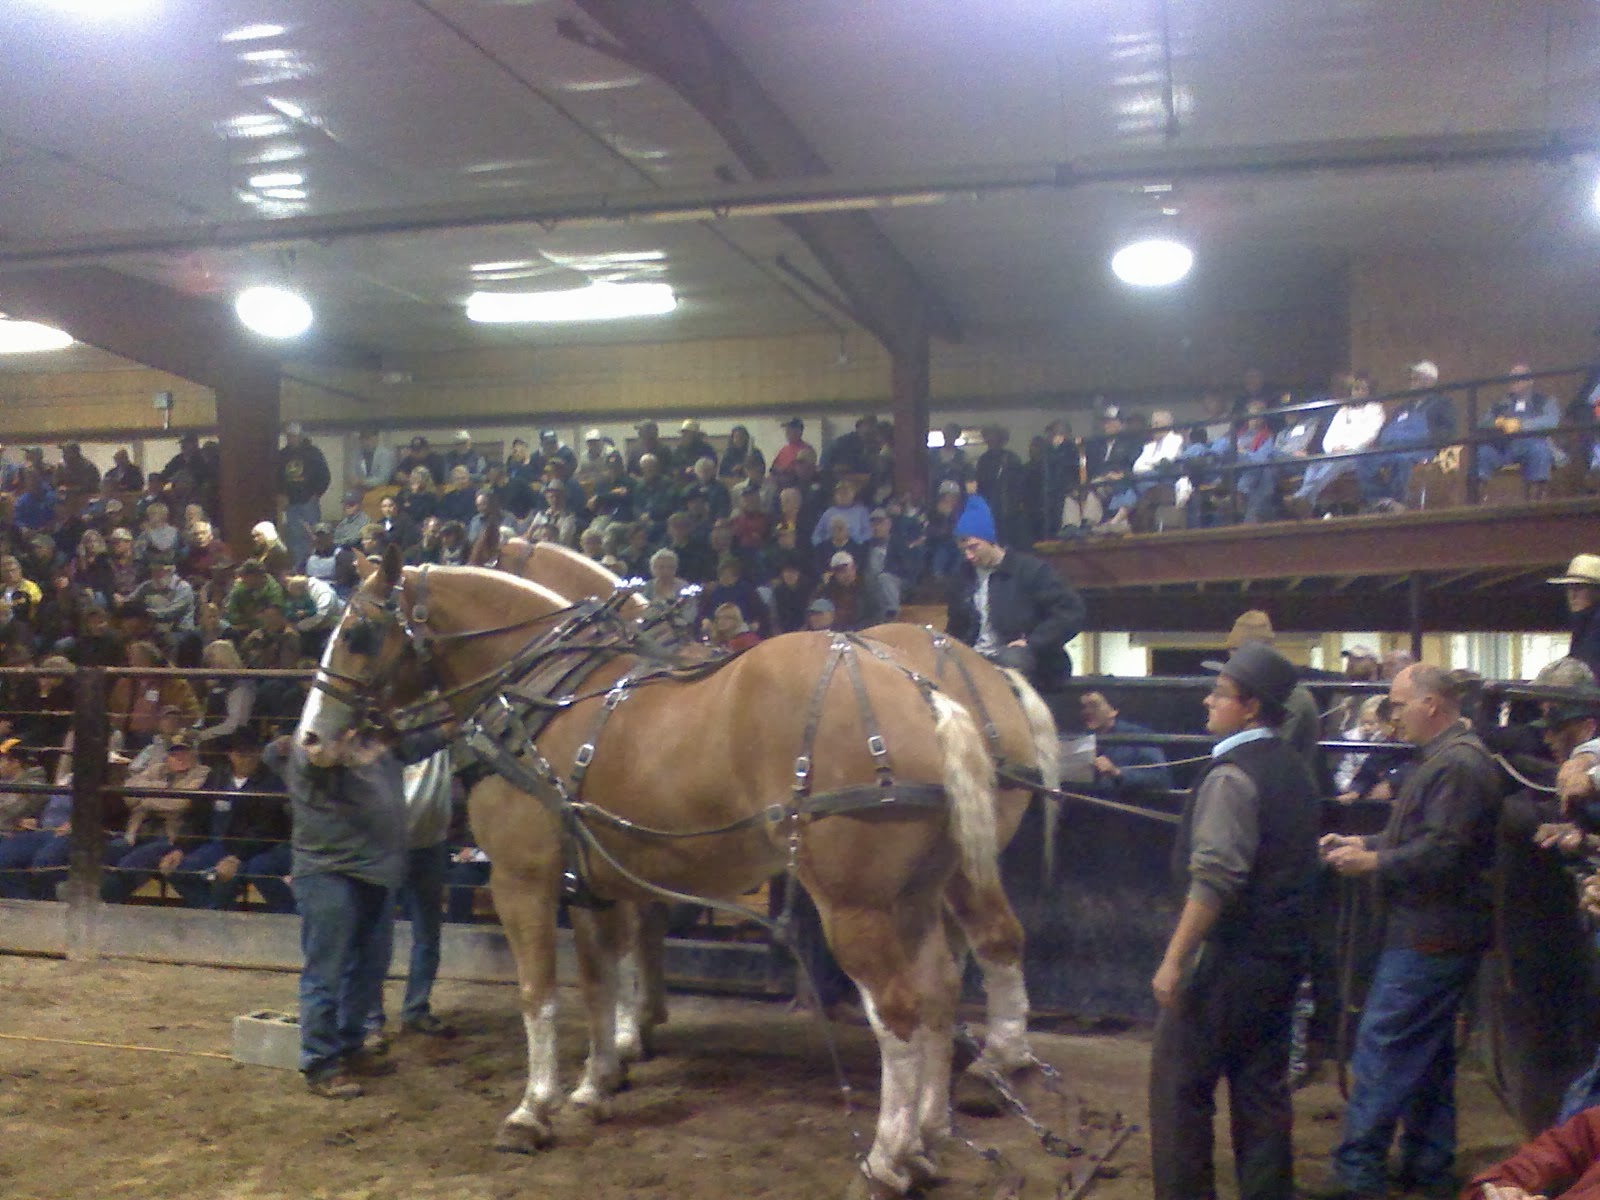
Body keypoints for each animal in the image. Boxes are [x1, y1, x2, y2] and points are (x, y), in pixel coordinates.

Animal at [300, 550, 1003, 1195]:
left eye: (358, 631)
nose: (310, 738)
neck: (541, 694)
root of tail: (924, 694)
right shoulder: (594, 887)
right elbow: (599, 984)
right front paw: (595, 1085)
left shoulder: (521, 879)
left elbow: (538, 993)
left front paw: (531, 1111)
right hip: (913, 897)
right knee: (940, 990)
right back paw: (927, 1139)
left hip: (855, 904)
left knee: (898, 1011)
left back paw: (887, 1159)